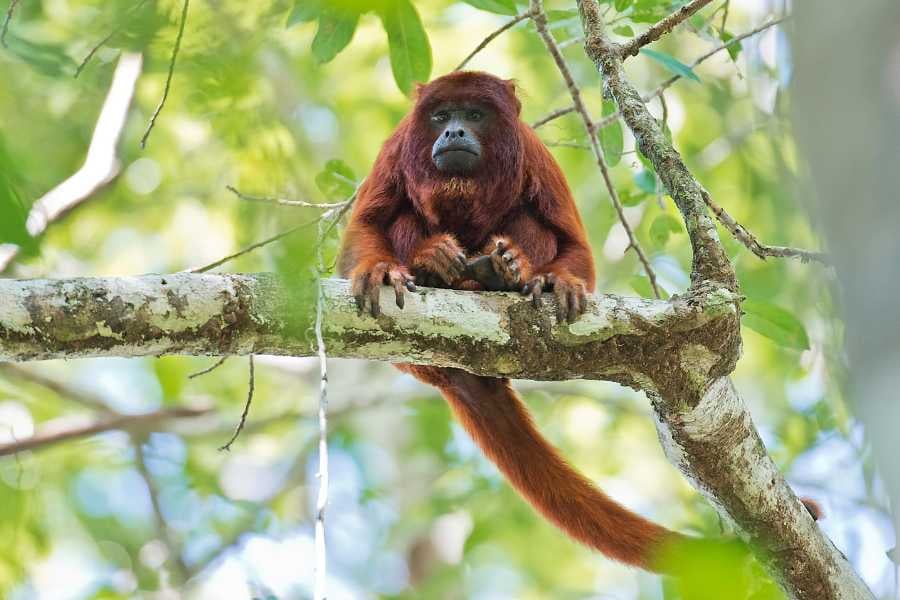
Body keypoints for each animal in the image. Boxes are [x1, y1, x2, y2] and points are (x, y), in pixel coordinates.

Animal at [338, 71, 684, 572]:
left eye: (474, 114)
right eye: (441, 116)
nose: (453, 132)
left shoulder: (535, 155)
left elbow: (574, 247)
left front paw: (559, 281)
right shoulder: (396, 148)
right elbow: (361, 234)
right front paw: (382, 269)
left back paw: (499, 272)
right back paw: (436, 266)